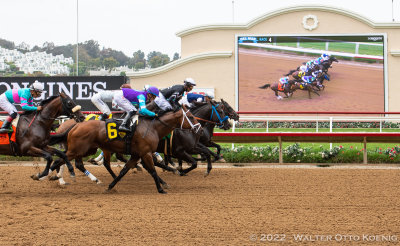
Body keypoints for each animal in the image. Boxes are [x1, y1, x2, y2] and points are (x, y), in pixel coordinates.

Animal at [42, 105, 202, 194]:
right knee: (60, 160)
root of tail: (75, 125)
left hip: (85, 150)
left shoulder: (136, 155)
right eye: (191, 116)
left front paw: (111, 186)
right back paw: (47, 176)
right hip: (77, 150)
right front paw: (161, 188)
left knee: (70, 161)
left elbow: (124, 170)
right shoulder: (145, 153)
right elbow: (152, 170)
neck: (153, 127)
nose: (199, 129)